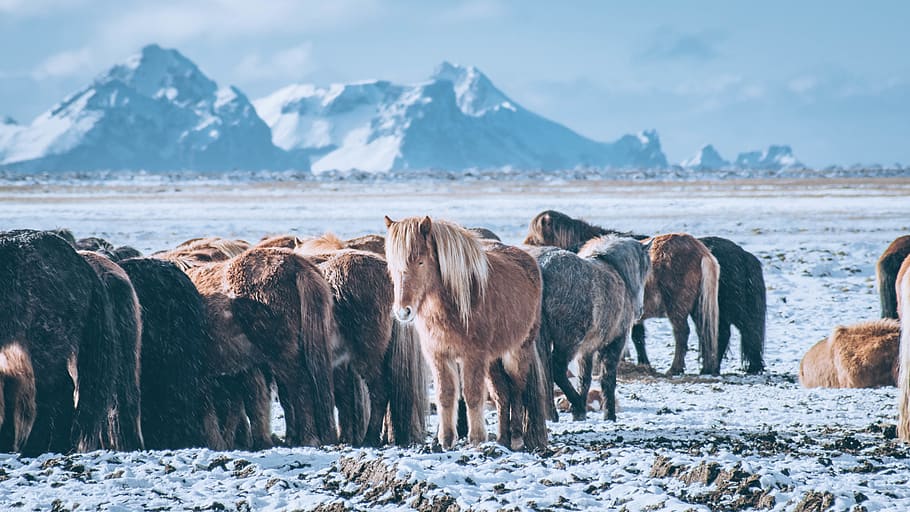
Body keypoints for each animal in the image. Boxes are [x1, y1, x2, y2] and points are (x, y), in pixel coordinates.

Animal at [385, 216, 547, 451]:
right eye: (392, 265)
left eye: (420, 262)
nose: (402, 311)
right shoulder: (439, 356)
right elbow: (445, 395)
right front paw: (446, 441)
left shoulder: (473, 356)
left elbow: (471, 395)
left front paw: (477, 439)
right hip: (493, 360)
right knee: (502, 395)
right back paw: (502, 439)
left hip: (517, 351)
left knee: (516, 388)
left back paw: (516, 438)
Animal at [524, 210, 721, 375]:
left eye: (535, 239)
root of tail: (701, 250)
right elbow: (638, 338)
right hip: (697, 307)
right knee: (704, 333)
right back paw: (706, 368)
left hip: (677, 308)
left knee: (682, 333)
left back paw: (675, 368)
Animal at [528, 236, 651, 422]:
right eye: (645, 268)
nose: (640, 310)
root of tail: (542, 267)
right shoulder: (616, 342)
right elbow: (607, 378)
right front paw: (609, 415)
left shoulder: (587, 349)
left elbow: (584, 379)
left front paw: (578, 415)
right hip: (568, 341)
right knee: (557, 369)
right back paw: (578, 404)